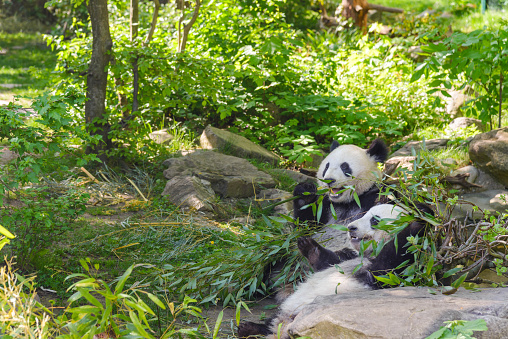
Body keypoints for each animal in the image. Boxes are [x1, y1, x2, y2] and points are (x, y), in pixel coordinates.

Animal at [239, 205, 432, 339]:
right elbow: (329, 262)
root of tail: (282, 328)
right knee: (270, 320)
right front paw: (309, 246)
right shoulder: (348, 257)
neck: (369, 252)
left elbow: (389, 265)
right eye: (364, 214)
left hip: (301, 321)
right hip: (287, 311)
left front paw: (419, 219)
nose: (351, 227)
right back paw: (248, 328)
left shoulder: (397, 269)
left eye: (374, 220)